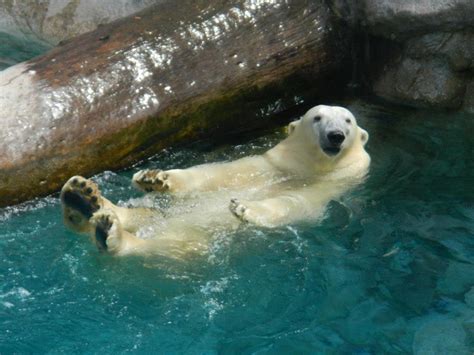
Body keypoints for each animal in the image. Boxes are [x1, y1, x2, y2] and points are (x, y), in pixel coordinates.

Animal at [60, 104, 370, 258]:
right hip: (165, 214)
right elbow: (218, 174)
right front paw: (154, 178)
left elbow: (295, 203)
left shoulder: (329, 187)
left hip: (192, 237)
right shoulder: (271, 164)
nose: (335, 135)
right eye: (317, 117)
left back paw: (108, 231)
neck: (310, 167)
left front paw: (244, 208)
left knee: (173, 247)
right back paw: (83, 198)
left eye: (348, 121)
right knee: (146, 214)